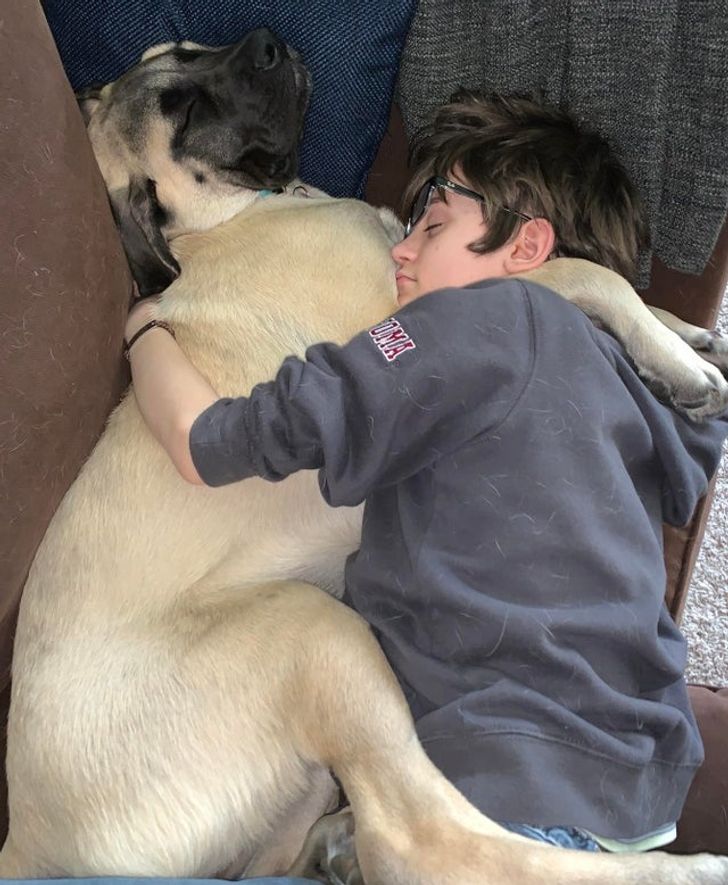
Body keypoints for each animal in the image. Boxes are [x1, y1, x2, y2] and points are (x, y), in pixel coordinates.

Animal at [1, 27, 728, 884]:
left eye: (186, 48)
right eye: (181, 109)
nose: (269, 41)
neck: (230, 216)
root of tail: (27, 841)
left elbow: (603, 280)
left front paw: (686, 334)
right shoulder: (408, 320)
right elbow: (573, 270)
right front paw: (679, 363)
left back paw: (333, 848)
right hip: (313, 630)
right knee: (419, 831)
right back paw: (683, 869)